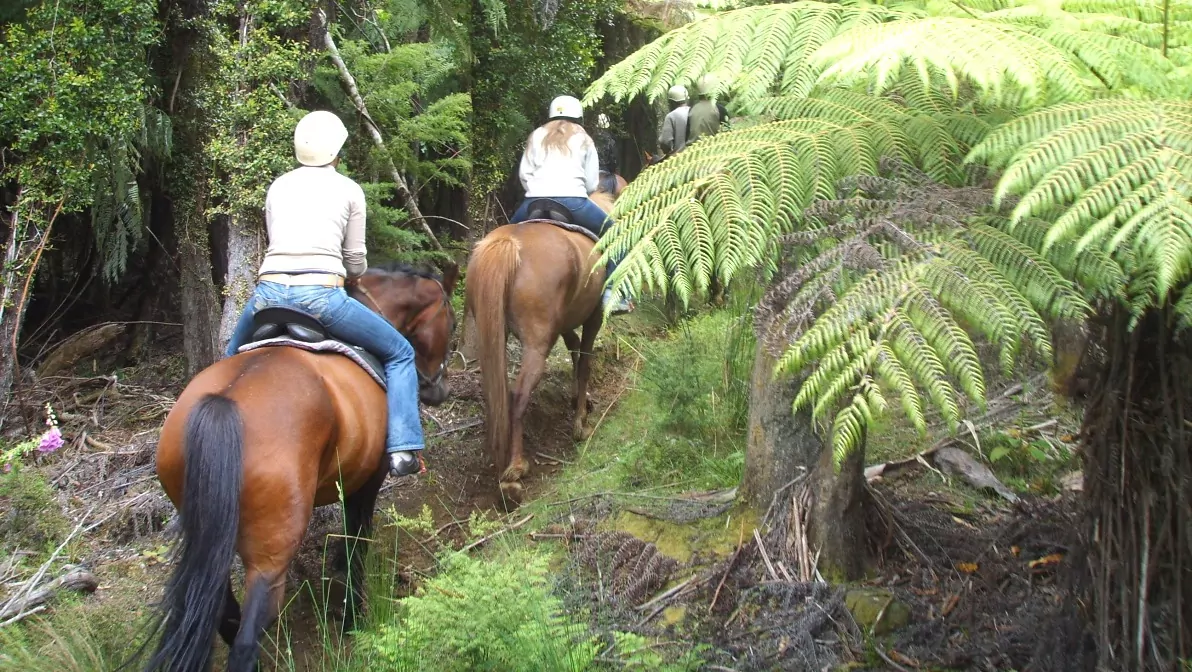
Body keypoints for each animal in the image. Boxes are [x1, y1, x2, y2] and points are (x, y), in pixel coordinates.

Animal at [139, 265, 455, 672]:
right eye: (451, 320)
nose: (438, 391)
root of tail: (223, 403)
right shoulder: (367, 479)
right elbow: (357, 542)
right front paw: (352, 618)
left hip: (208, 535)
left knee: (223, 612)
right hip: (272, 554)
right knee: (245, 638)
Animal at [464, 178, 629, 505]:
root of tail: (508, 245)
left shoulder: (563, 323)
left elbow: (574, 349)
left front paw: (580, 400)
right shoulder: (593, 318)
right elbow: (585, 361)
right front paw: (580, 423)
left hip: (494, 330)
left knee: (497, 392)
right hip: (537, 343)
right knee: (518, 395)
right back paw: (515, 471)